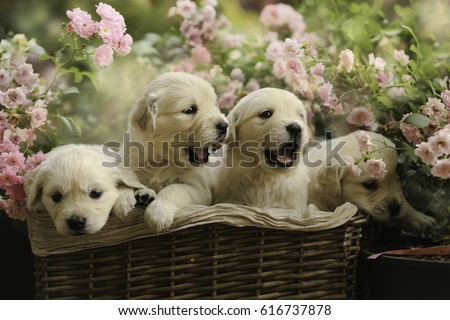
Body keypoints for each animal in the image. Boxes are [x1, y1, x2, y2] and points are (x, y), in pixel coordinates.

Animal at [125, 72, 227, 232]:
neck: (162, 158)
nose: (224, 125)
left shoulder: (200, 189)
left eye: (215, 105)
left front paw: (158, 213)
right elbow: (135, 181)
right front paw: (144, 193)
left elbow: (174, 188)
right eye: (190, 109)